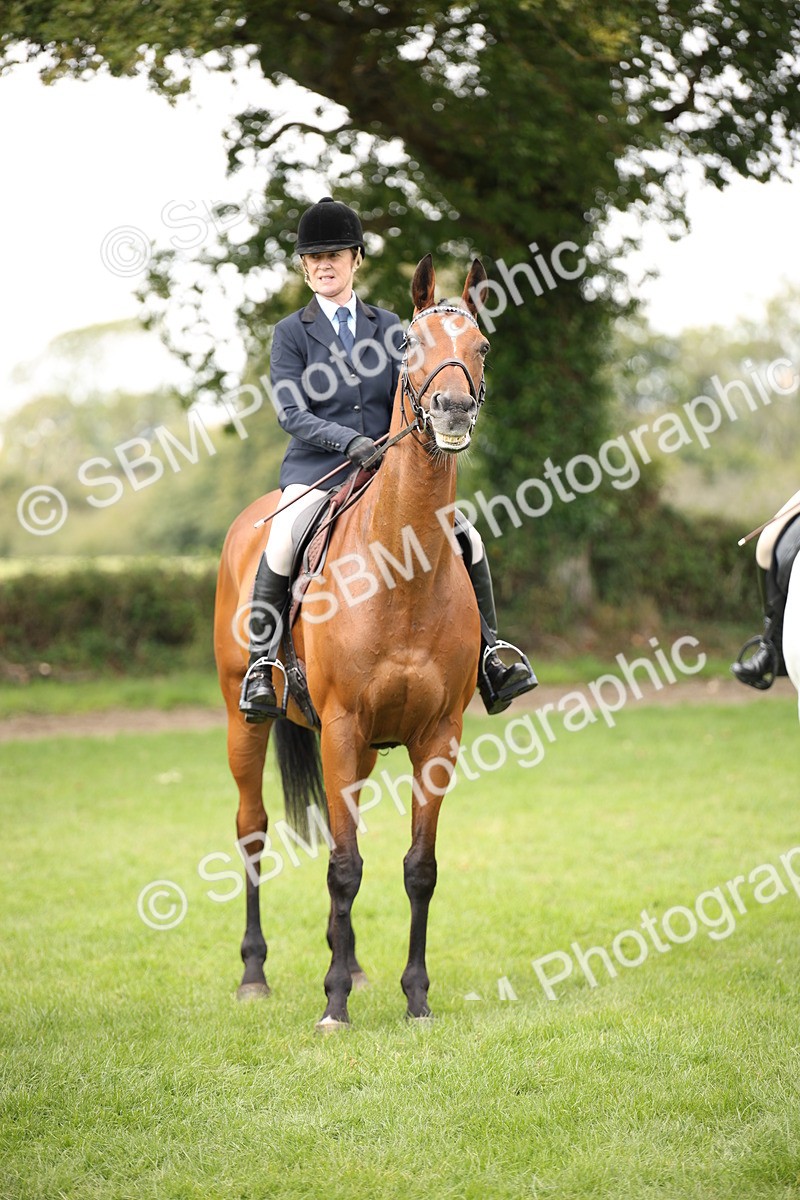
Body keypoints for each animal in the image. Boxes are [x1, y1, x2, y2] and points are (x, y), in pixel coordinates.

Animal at [214, 255, 490, 1029]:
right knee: (253, 829)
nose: (452, 411)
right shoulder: (339, 726)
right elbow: (342, 866)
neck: (402, 573)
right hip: (246, 720)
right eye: (408, 347)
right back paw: (254, 975)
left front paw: (415, 997)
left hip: (365, 748)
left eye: (482, 346)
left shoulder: (437, 734)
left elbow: (416, 869)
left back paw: (357, 965)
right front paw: (333, 1004)